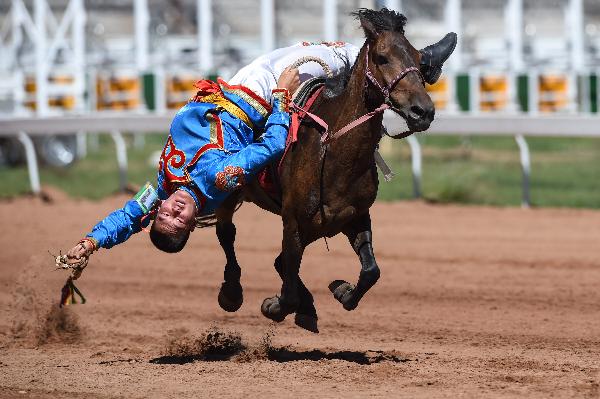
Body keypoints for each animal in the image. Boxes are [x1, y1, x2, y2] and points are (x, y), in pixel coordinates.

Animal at [213, 8, 434, 334]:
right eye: (382, 57)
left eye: (419, 59)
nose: (423, 111)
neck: (334, 151)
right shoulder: (293, 221)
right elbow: (288, 288)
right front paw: (275, 305)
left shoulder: (354, 215)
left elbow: (371, 270)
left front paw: (342, 290)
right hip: (230, 186)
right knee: (227, 233)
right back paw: (231, 292)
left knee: (279, 262)